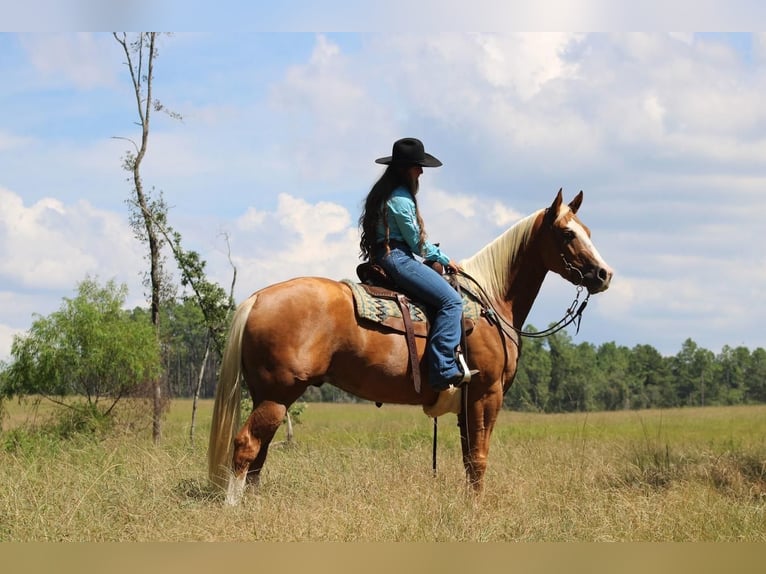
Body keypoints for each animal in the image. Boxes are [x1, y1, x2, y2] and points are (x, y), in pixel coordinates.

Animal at [208, 190, 612, 504]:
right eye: (567, 233)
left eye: (589, 231)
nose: (604, 274)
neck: (491, 301)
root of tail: (258, 298)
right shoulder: (487, 393)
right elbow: (479, 458)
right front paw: (477, 509)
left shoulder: (468, 400)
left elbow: (468, 458)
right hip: (277, 394)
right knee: (246, 445)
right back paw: (233, 508)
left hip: (269, 395)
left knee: (259, 452)